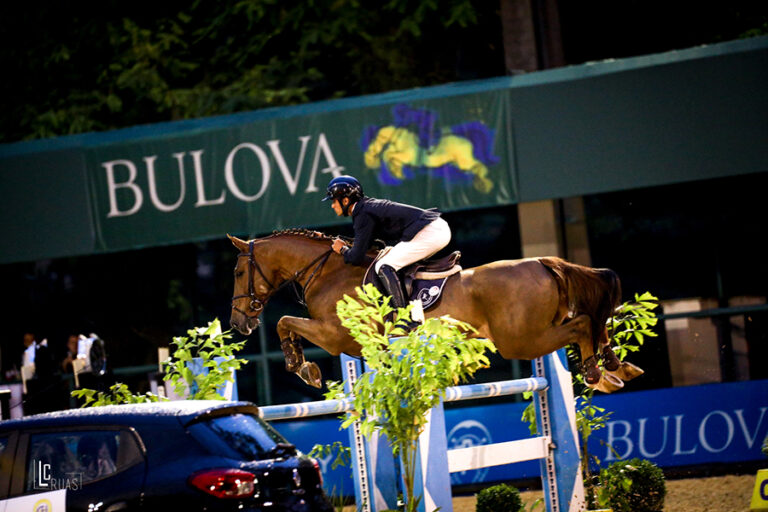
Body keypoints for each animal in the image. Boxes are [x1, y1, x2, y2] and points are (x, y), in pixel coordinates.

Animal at [228, 230, 640, 394]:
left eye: (237, 273)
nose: (237, 322)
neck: (327, 271)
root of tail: (542, 262)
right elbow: (287, 323)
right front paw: (304, 367)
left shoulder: (334, 336)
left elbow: (285, 322)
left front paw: (304, 368)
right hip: (537, 329)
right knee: (591, 326)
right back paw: (613, 368)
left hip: (521, 340)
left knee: (583, 324)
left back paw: (597, 373)